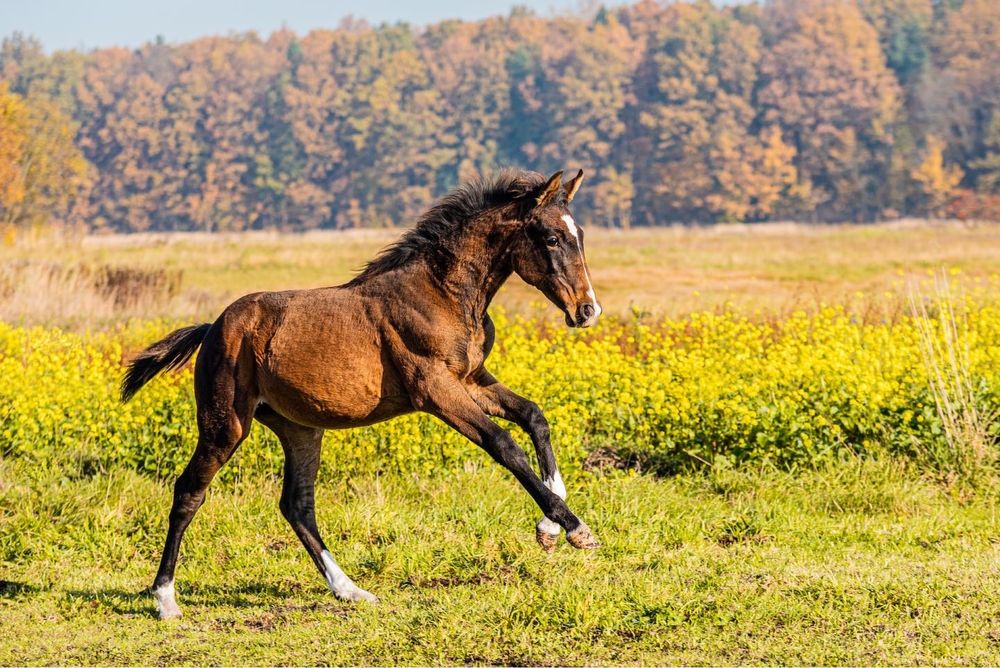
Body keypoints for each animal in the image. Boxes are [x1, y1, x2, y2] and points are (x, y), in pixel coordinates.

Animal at [117, 168, 600, 620]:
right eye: (552, 238)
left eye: (579, 235)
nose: (588, 310)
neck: (443, 294)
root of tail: (214, 328)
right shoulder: (436, 390)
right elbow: (504, 444)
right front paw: (575, 528)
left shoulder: (471, 379)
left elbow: (534, 416)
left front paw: (548, 530)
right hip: (225, 425)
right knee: (189, 492)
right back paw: (165, 599)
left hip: (300, 430)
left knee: (297, 504)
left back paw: (349, 590)